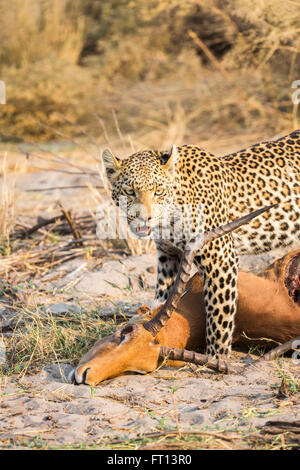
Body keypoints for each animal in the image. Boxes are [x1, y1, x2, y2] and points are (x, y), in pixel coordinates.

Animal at [102, 130, 300, 358]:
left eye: (158, 192)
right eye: (130, 192)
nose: (145, 218)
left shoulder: (221, 259)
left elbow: (219, 317)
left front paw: (216, 357)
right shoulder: (169, 256)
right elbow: (164, 296)